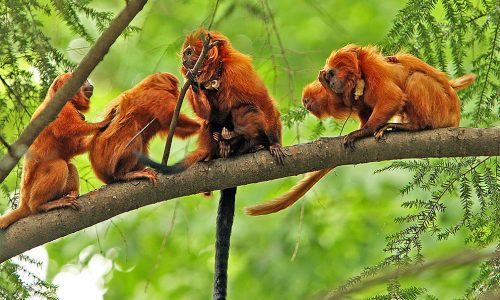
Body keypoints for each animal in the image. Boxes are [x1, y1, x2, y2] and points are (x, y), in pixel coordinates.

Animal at [0, 74, 109, 229]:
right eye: (84, 81)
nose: (90, 84)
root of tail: (24, 202)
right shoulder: (62, 108)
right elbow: (66, 128)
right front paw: (101, 124)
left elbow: (74, 147)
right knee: (60, 166)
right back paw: (41, 205)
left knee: (70, 166)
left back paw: (71, 193)